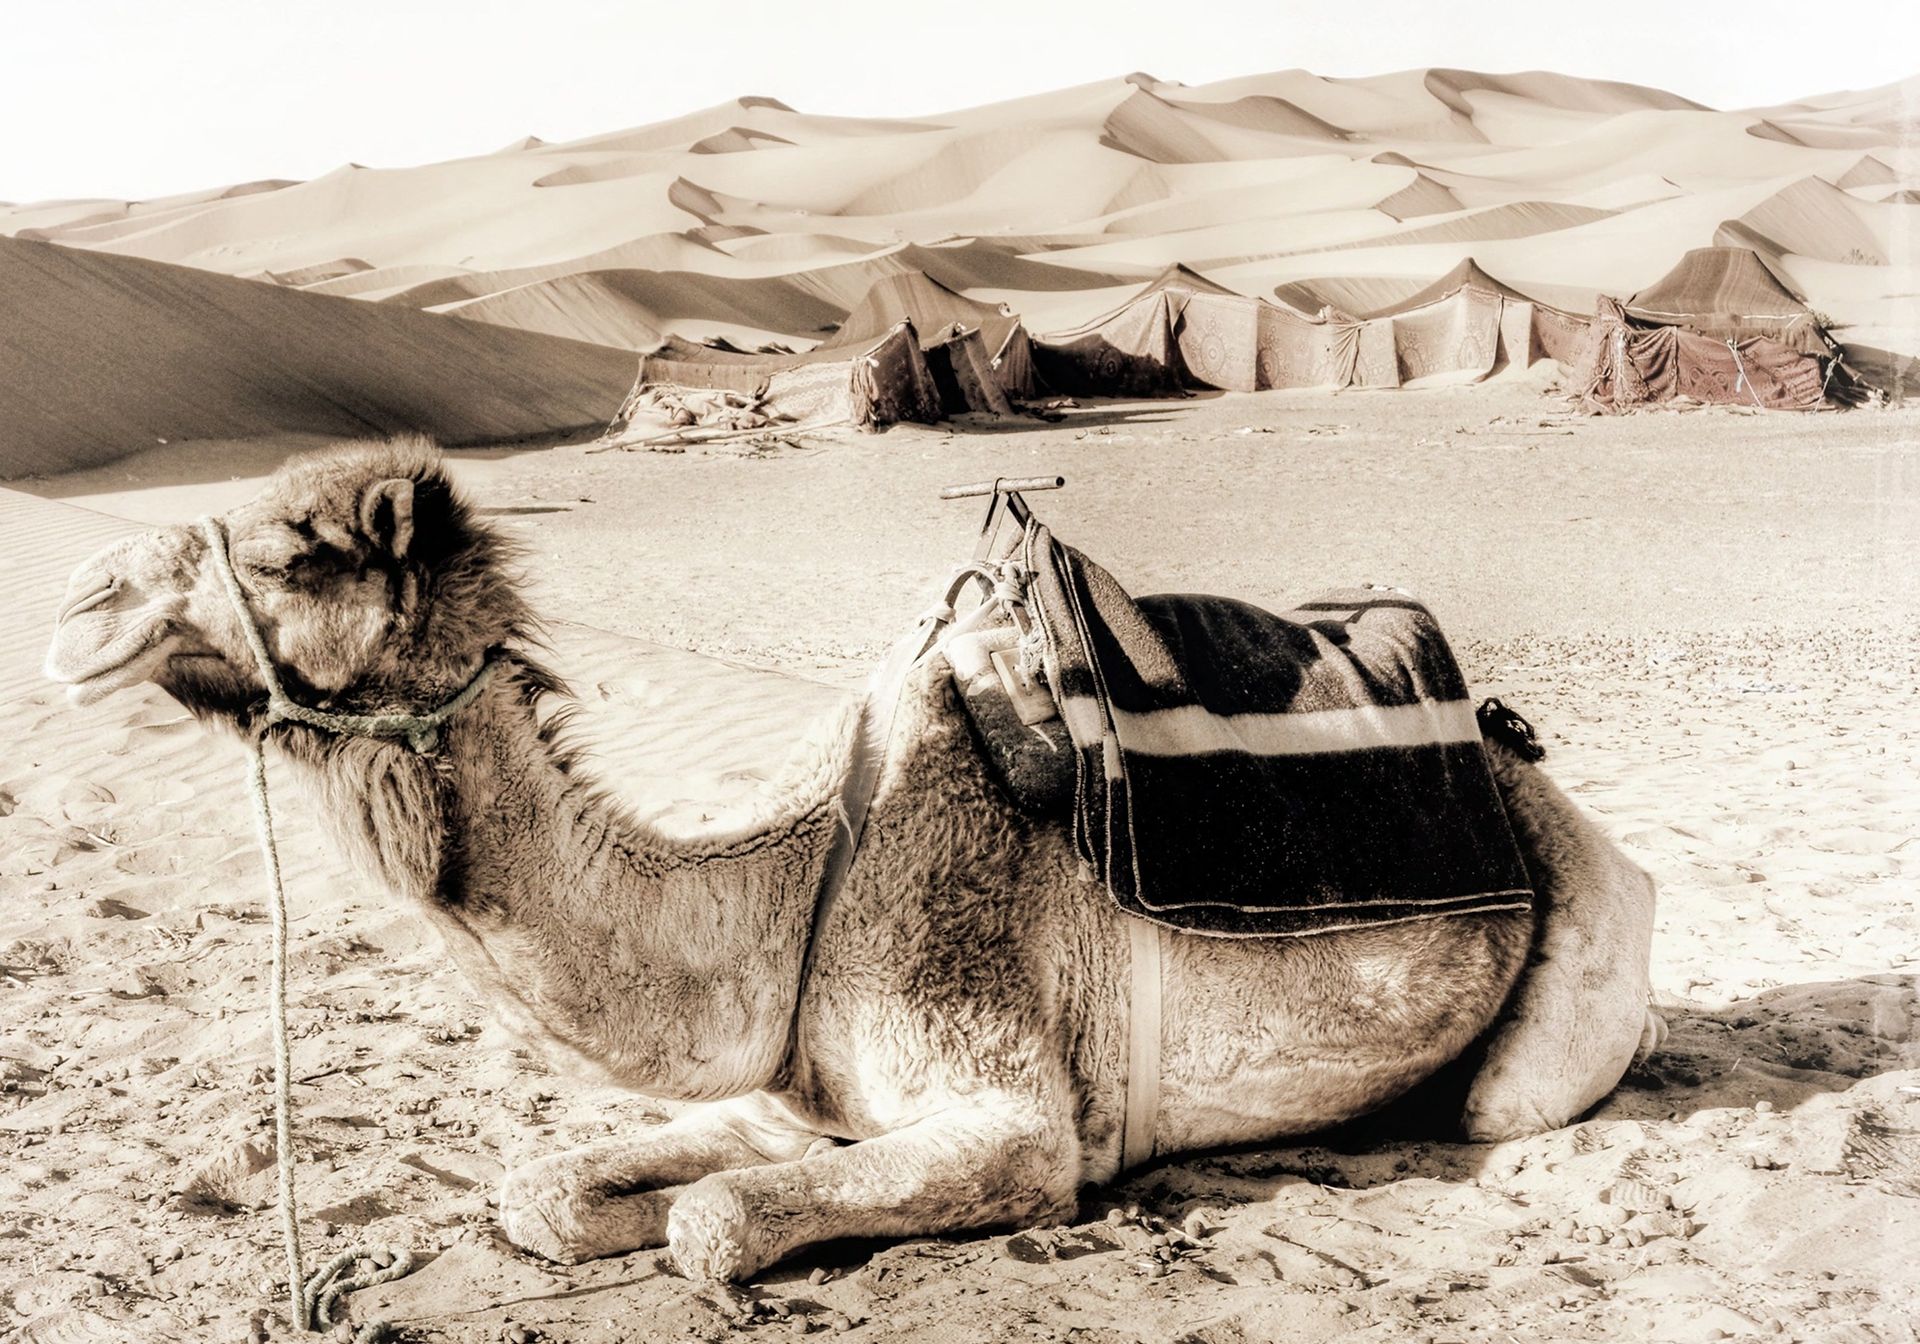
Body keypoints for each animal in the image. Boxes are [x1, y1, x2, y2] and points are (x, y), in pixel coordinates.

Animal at [45, 439, 1663, 1283]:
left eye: (291, 555)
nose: (74, 605)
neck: (790, 893)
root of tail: (1513, 747)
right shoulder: (793, 1099)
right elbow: (549, 1195)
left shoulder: (1018, 1124)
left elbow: (707, 1227)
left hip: (1574, 961)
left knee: (1505, 1098)